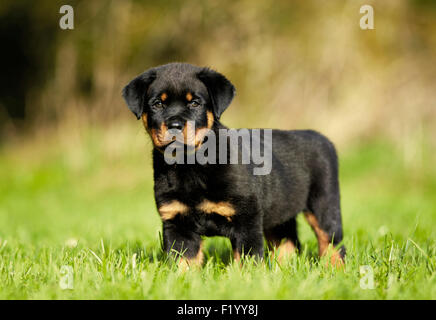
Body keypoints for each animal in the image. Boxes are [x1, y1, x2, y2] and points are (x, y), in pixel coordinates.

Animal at [122, 62, 344, 268]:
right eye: (157, 104)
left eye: (195, 103)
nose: (174, 126)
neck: (190, 164)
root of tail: (320, 137)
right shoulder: (177, 222)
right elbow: (183, 261)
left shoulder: (247, 219)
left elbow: (248, 258)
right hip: (280, 212)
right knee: (287, 242)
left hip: (324, 202)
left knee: (332, 240)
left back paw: (334, 269)